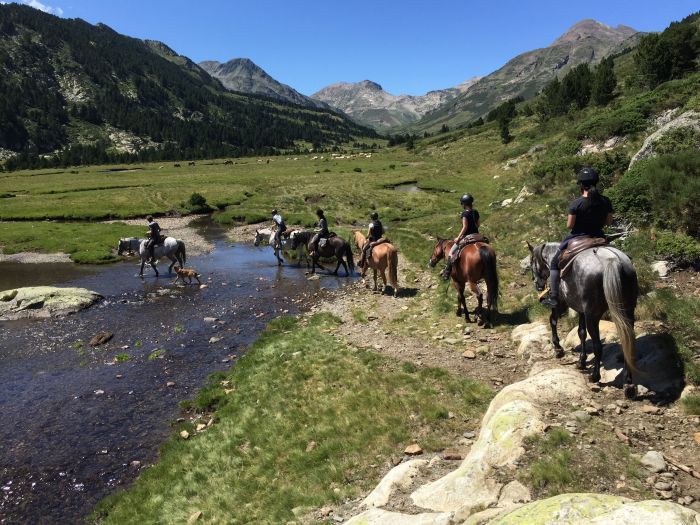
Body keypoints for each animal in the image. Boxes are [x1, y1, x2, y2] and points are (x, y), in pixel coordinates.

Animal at [528, 242, 636, 398]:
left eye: (531, 262)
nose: (537, 284)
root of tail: (612, 260)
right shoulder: (581, 311)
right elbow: (581, 332)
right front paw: (581, 361)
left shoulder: (561, 304)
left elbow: (553, 320)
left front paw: (558, 348)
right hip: (627, 312)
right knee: (628, 341)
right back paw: (629, 384)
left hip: (593, 315)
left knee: (598, 346)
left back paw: (595, 376)